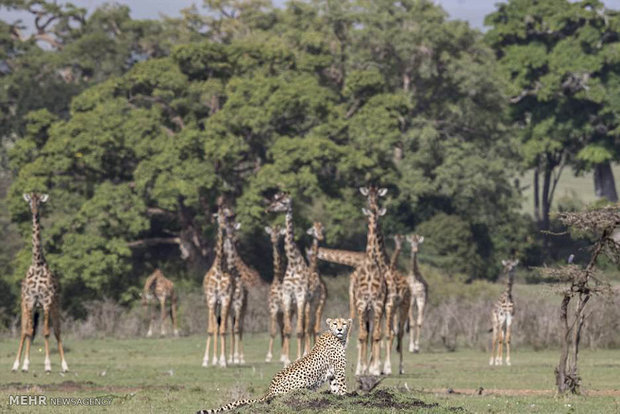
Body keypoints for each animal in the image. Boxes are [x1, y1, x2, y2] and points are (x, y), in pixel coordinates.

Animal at [12, 193, 68, 372]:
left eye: (40, 202)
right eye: (30, 200)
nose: (34, 211)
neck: (37, 264)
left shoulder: (46, 301)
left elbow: (46, 332)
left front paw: (48, 365)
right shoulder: (30, 301)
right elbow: (29, 332)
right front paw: (24, 365)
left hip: (54, 305)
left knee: (57, 330)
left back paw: (65, 365)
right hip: (28, 306)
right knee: (26, 330)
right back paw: (17, 364)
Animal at [196, 318, 352, 412]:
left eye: (344, 323)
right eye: (335, 324)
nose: (339, 329)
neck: (338, 338)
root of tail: (270, 389)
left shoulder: (333, 372)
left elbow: (335, 386)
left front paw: (338, 396)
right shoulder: (339, 370)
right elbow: (342, 385)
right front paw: (345, 395)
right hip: (301, 383)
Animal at [266, 192, 310, 364]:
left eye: (284, 202)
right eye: (275, 199)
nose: (268, 209)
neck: (292, 262)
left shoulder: (300, 294)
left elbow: (299, 330)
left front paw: (298, 356)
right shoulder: (286, 296)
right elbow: (287, 329)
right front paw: (285, 359)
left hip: (307, 304)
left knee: (305, 327)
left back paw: (305, 352)